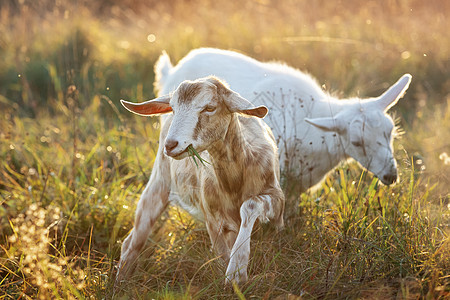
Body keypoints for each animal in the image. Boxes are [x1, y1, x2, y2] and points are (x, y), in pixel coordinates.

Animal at [116, 76, 284, 284]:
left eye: (209, 107)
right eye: (173, 107)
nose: (170, 145)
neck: (234, 182)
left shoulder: (278, 200)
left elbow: (251, 205)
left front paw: (237, 270)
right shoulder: (212, 217)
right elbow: (222, 256)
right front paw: (234, 275)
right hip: (158, 184)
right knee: (133, 242)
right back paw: (119, 283)